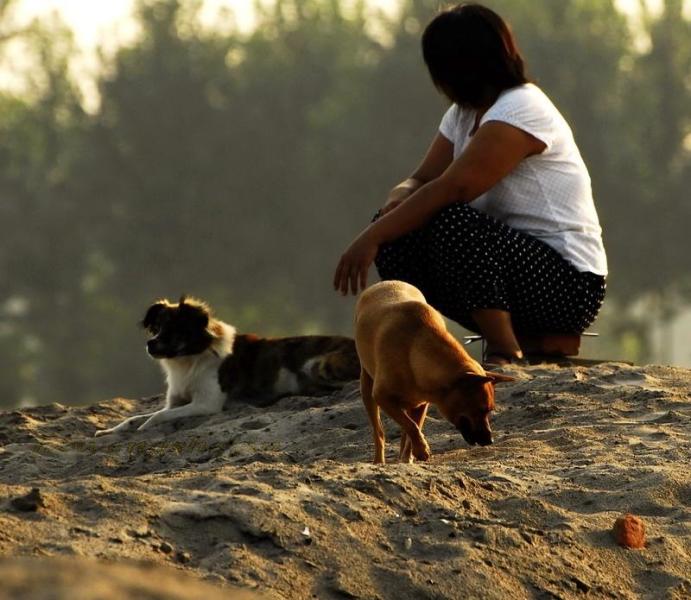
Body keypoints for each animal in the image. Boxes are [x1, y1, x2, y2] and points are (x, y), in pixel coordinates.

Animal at [94, 298, 360, 436]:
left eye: (173, 331)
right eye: (157, 328)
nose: (150, 344)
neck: (190, 359)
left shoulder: (205, 404)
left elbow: (157, 416)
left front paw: (145, 427)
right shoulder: (176, 401)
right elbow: (134, 418)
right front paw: (109, 431)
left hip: (319, 364)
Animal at [356, 282, 512, 464]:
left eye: (489, 410)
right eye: (481, 409)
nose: (490, 441)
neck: (415, 351)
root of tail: (384, 283)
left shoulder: (422, 404)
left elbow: (413, 428)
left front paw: (412, 455)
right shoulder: (382, 397)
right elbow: (411, 426)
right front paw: (421, 449)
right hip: (367, 388)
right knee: (379, 431)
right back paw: (379, 461)